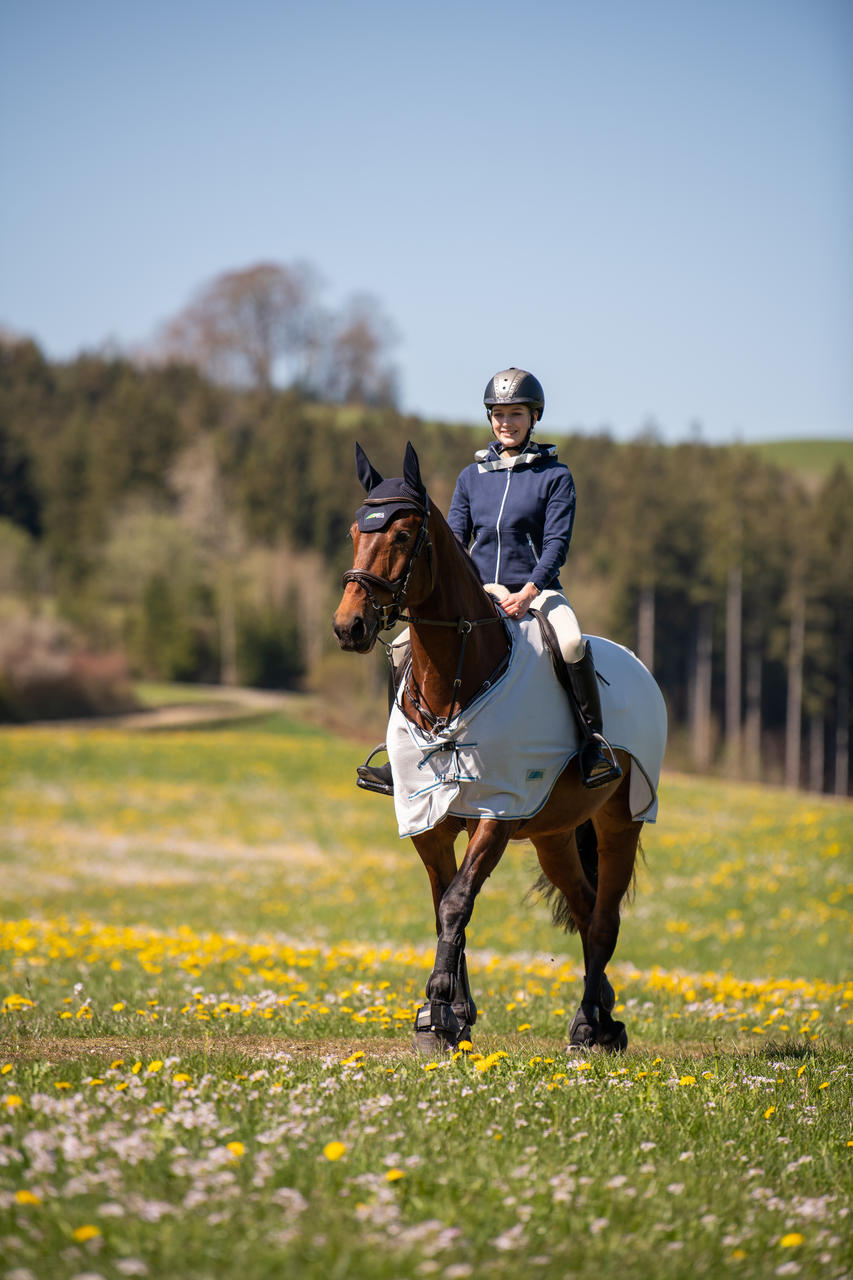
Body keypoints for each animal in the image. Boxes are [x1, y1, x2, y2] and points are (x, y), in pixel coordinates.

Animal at [333, 445, 666, 1054]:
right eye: (353, 531)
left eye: (402, 535)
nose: (350, 626)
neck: (457, 680)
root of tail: (635, 664)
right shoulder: (428, 816)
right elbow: (445, 905)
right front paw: (451, 1014)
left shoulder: (499, 811)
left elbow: (457, 902)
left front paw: (438, 1009)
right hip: (555, 835)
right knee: (585, 908)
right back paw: (602, 1015)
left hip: (622, 820)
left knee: (604, 920)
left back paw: (589, 1026)